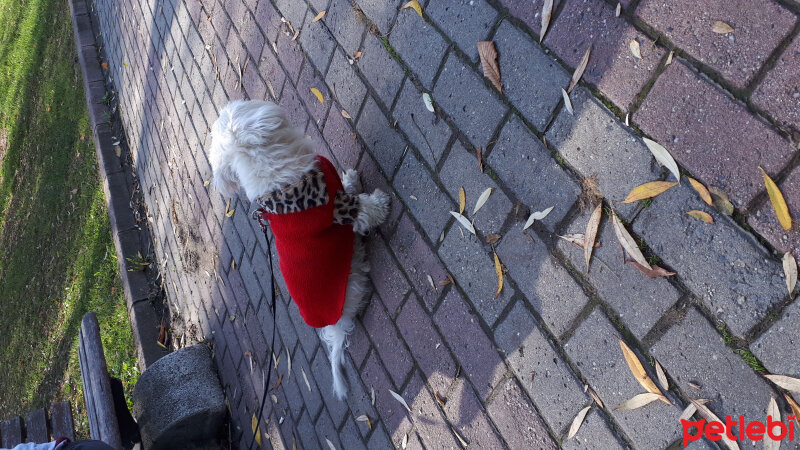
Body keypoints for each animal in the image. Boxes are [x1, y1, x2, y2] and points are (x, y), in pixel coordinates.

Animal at [209, 100, 390, 400]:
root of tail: (335, 327)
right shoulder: (345, 210)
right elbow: (368, 209)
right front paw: (382, 202)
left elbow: (347, 186)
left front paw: (350, 178)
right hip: (352, 280)